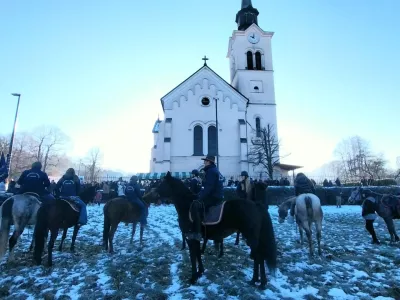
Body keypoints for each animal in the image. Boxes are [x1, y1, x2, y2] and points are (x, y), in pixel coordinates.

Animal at [148, 172, 276, 290]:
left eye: (161, 184)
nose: (147, 197)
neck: (187, 206)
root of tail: (256, 204)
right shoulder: (196, 239)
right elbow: (198, 254)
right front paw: (200, 272)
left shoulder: (190, 237)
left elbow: (193, 256)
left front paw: (193, 278)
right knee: (258, 257)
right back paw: (256, 280)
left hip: (251, 237)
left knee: (258, 256)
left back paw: (260, 282)